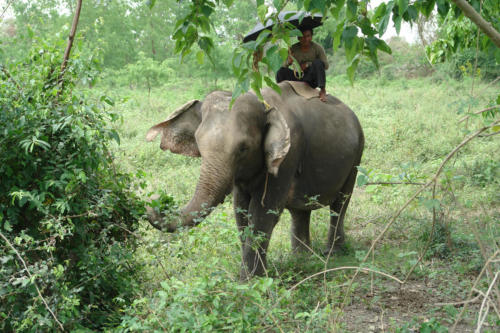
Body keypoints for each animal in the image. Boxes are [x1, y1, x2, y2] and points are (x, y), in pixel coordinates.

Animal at [146, 81, 364, 278]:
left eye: (243, 148)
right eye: (199, 144)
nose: (156, 199)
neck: (260, 101)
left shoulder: (289, 154)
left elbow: (262, 213)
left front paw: (251, 280)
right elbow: (240, 211)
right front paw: (254, 276)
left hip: (356, 156)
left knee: (341, 203)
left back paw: (332, 253)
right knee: (300, 211)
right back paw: (302, 258)